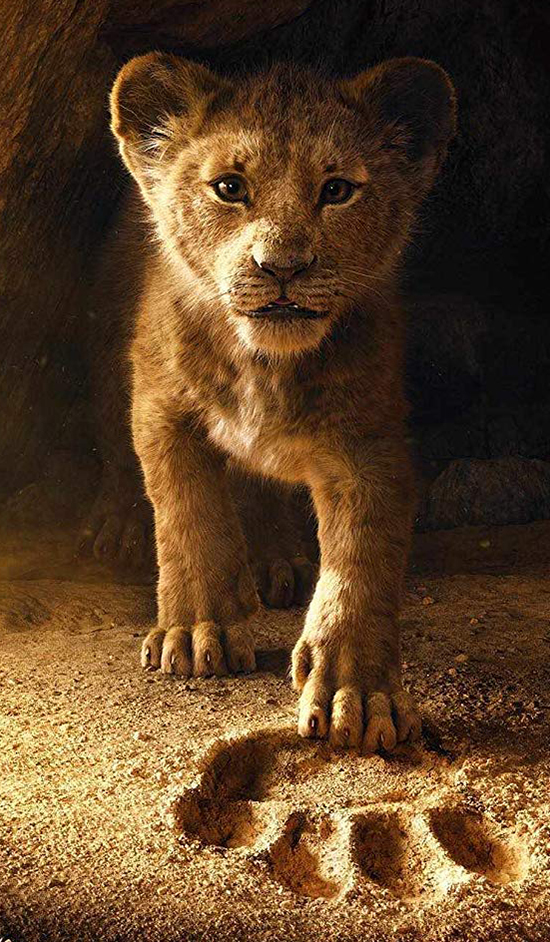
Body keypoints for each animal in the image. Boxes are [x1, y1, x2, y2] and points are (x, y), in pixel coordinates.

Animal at [80, 53, 456, 753]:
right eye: (229, 187)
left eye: (337, 190)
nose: (282, 266)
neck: (265, 364)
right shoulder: (162, 407)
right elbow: (189, 515)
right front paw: (196, 632)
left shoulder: (369, 441)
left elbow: (363, 559)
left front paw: (357, 693)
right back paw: (119, 527)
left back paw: (277, 559)